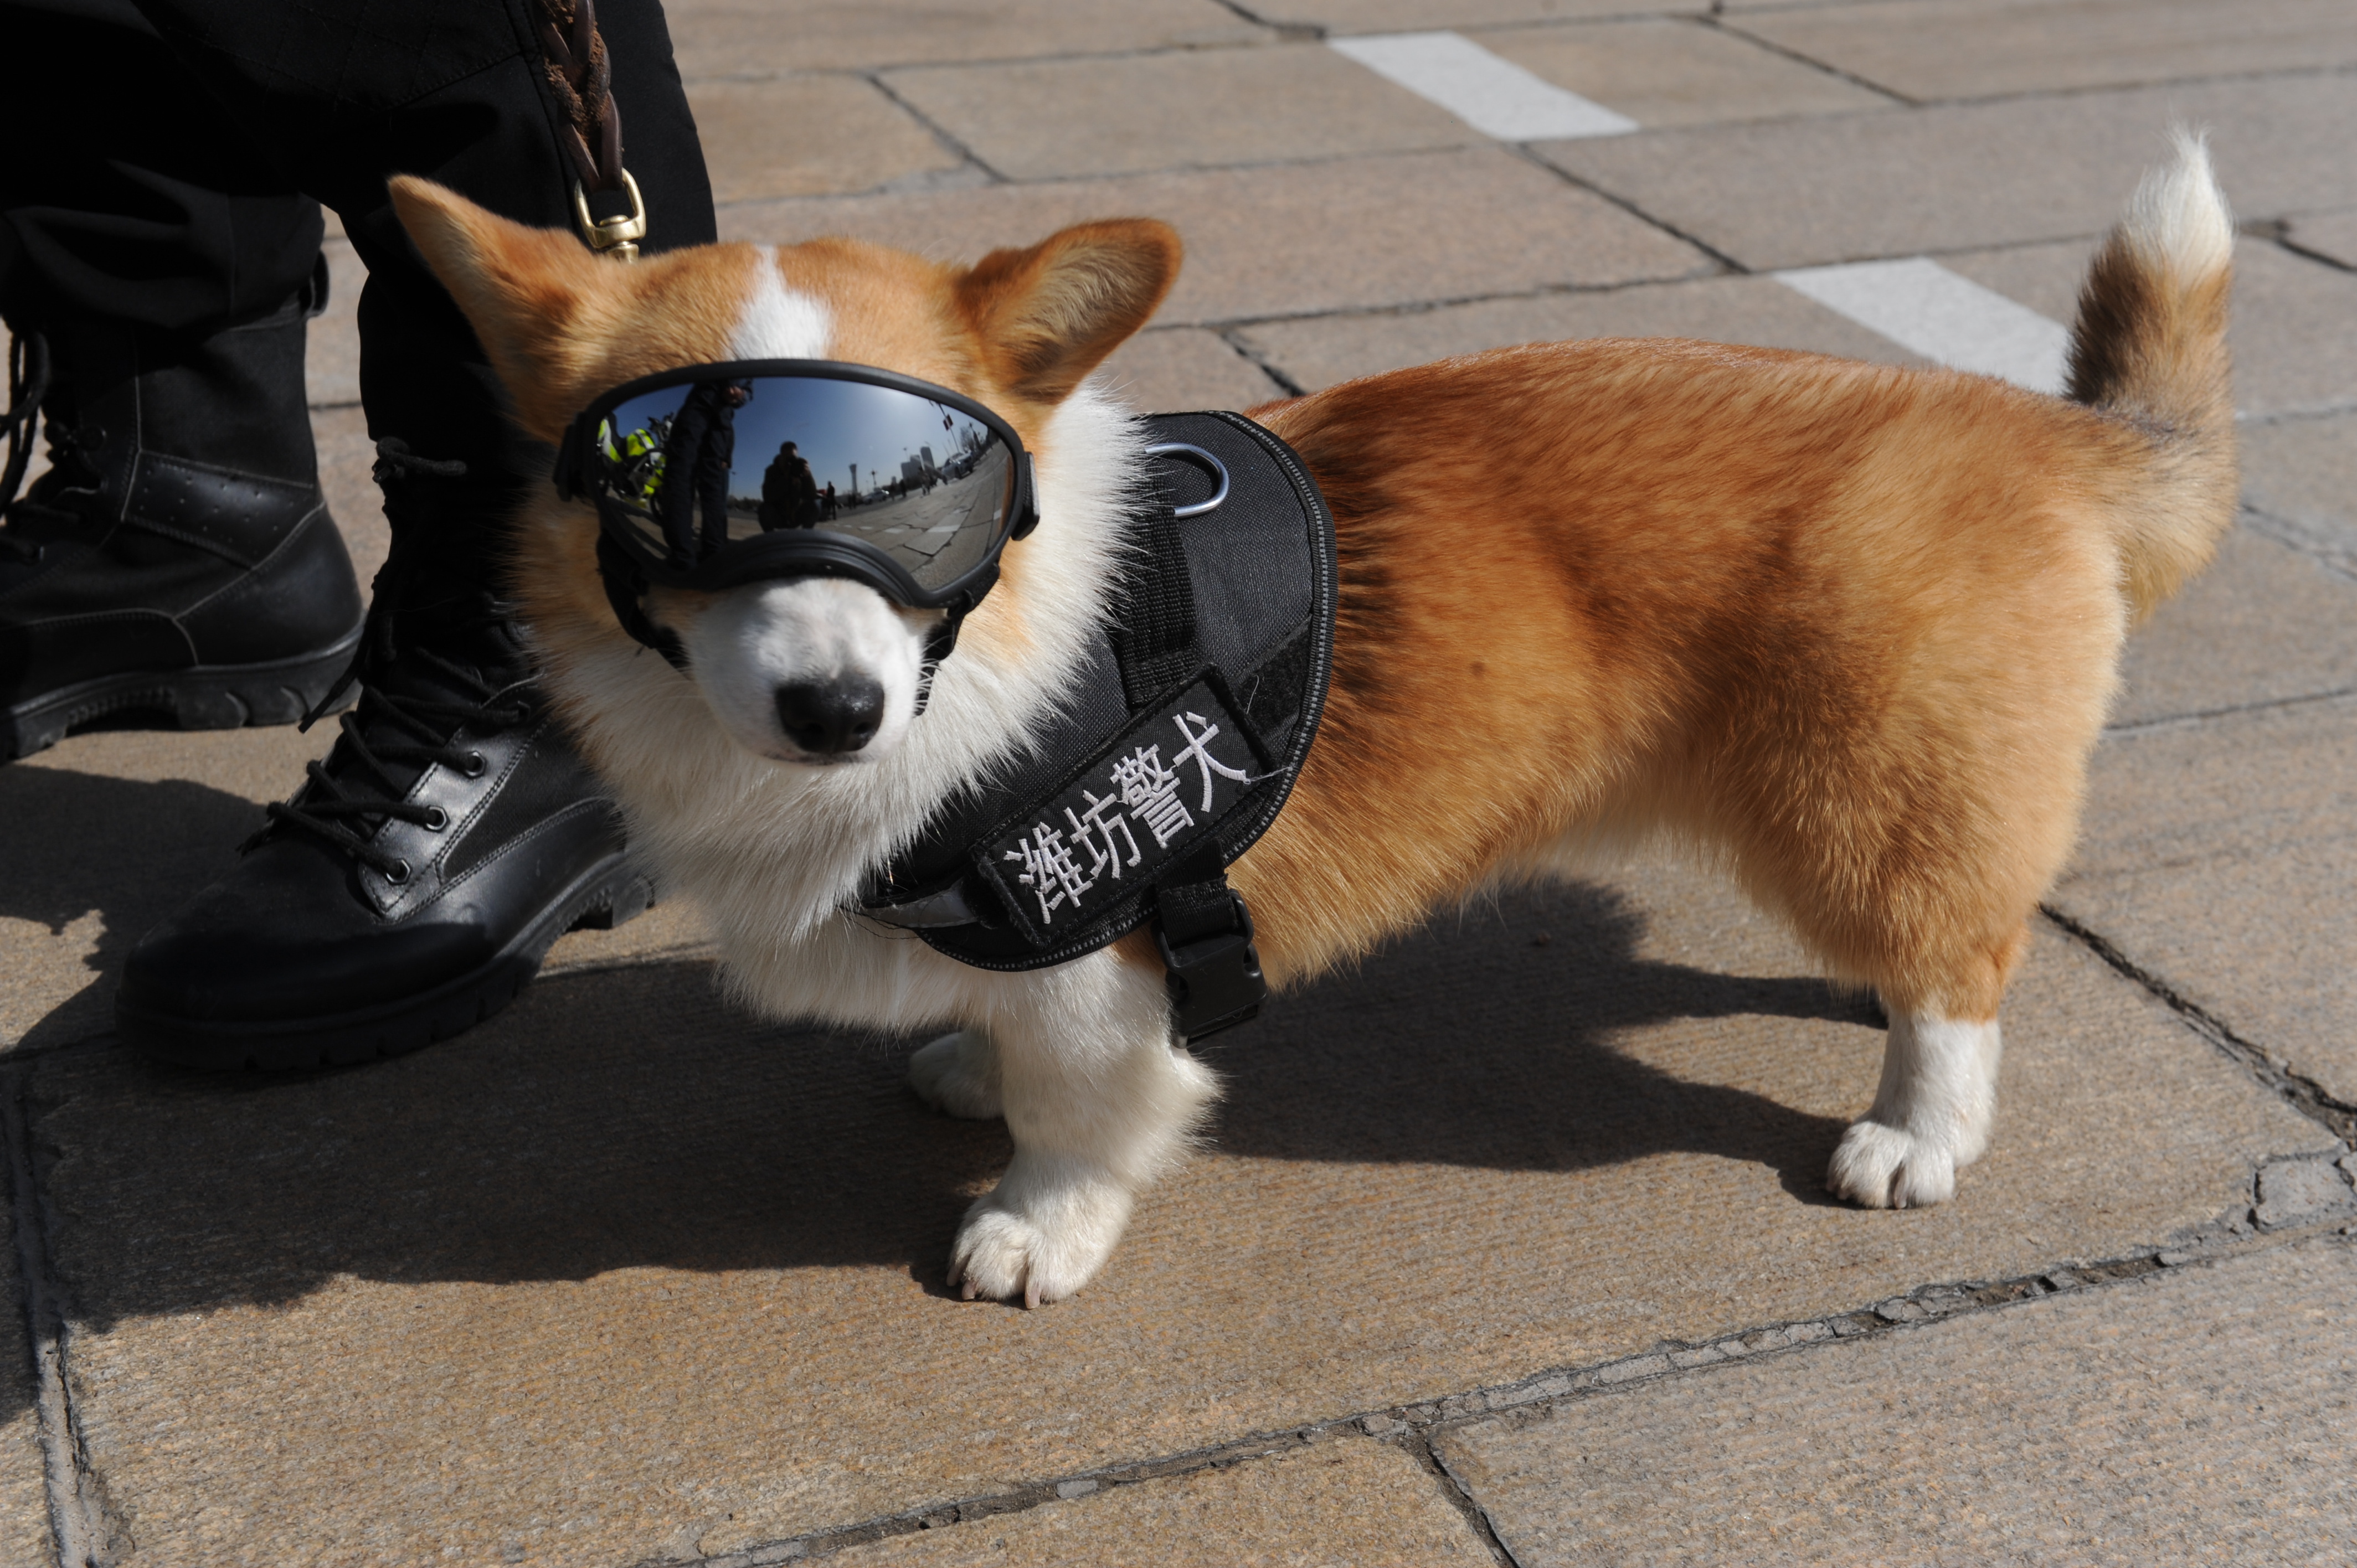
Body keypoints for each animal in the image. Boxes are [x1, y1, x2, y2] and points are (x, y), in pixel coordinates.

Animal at [386, 134, 2225, 1301]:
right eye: (651, 496)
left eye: (932, 498)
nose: (834, 711)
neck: (993, 638)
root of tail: (2055, 440)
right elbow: (994, 1035)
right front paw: (962, 1066)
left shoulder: (1109, 963)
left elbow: (1080, 1118)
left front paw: (1031, 1232)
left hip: (1851, 799)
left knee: (1960, 970)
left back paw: (1911, 1134)